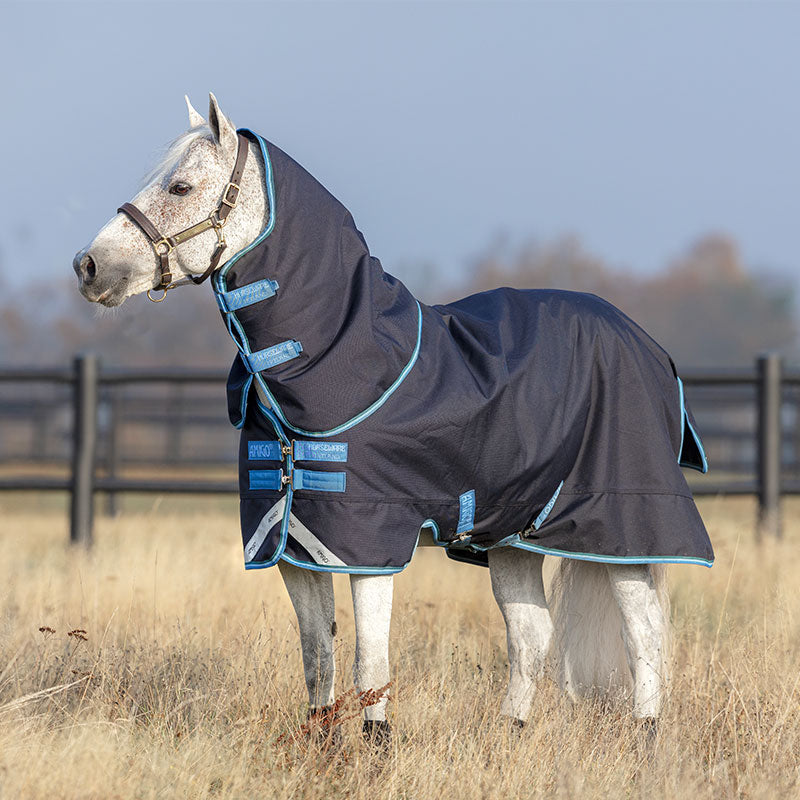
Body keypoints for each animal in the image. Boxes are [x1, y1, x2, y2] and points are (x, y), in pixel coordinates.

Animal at [73, 93, 712, 745]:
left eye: (180, 186)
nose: (89, 266)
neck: (347, 358)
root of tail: (647, 345)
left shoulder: (368, 543)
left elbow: (370, 663)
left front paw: (375, 747)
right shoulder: (294, 545)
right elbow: (317, 655)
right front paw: (321, 743)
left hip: (626, 527)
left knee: (644, 633)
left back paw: (646, 737)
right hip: (513, 536)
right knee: (531, 637)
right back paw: (512, 732)